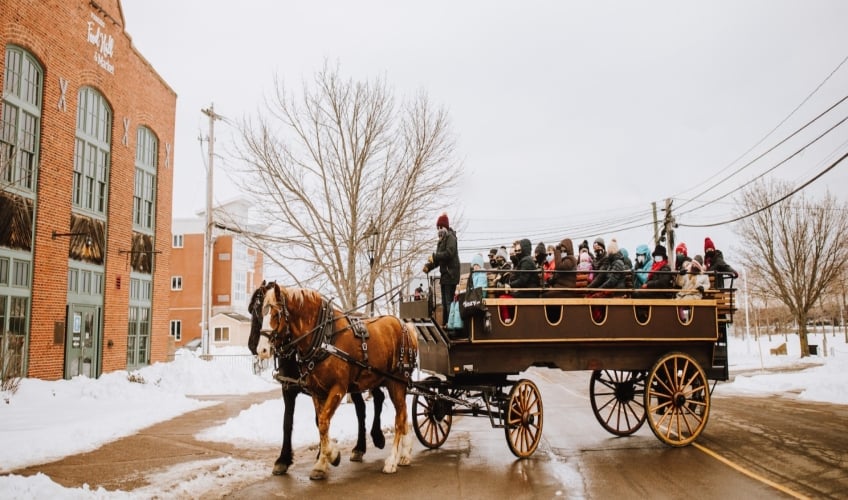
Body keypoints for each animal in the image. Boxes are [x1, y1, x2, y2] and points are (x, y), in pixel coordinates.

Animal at [258, 284, 418, 478]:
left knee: (399, 418)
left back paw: (392, 460)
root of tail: (405, 325)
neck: (324, 337)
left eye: (276, 314)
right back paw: (405, 454)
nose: (261, 350)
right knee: (402, 415)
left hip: (397, 382)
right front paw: (321, 463)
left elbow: (323, 422)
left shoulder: (338, 389)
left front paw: (332, 456)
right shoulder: (316, 391)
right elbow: (321, 423)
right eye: (261, 313)